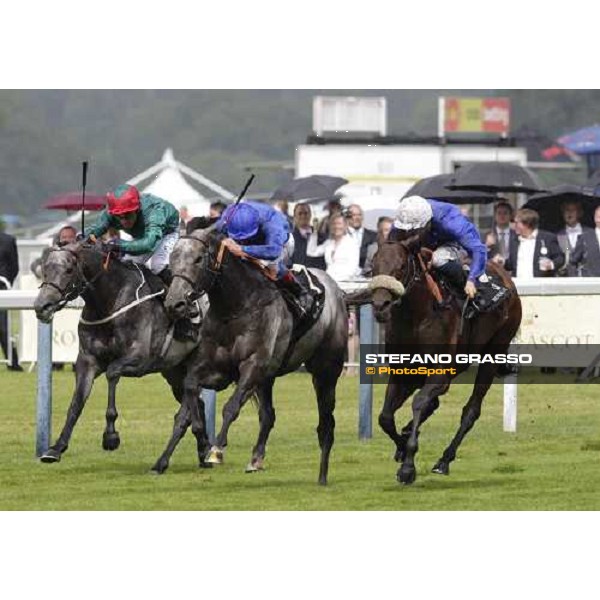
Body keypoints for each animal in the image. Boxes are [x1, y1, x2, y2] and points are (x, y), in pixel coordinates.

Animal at [33, 243, 211, 474]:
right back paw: (204, 451)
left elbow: (112, 373)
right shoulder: (87, 361)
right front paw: (55, 448)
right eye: (45, 269)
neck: (110, 301)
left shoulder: (140, 360)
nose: (41, 307)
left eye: (69, 270)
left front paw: (110, 436)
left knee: (189, 409)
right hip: (174, 373)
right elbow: (76, 403)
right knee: (198, 404)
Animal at [164, 227, 346, 486]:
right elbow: (190, 386)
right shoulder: (216, 369)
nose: (174, 303)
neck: (236, 307)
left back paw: (322, 476)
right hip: (268, 377)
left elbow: (230, 407)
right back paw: (256, 459)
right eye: (172, 259)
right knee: (268, 415)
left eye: (198, 259)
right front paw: (201, 434)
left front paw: (215, 450)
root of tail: (336, 290)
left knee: (326, 423)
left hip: (326, 371)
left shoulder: (252, 365)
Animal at [366, 239, 520, 482]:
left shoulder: (439, 372)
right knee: (433, 403)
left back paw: (444, 460)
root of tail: (506, 277)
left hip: (494, 352)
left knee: (471, 410)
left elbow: (419, 402)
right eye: (373, 266)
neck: (416, 318)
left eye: (401, 267)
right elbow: (385, 417)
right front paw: (402, 447)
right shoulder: (402, 373)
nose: (381, 306)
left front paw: (408, 466)